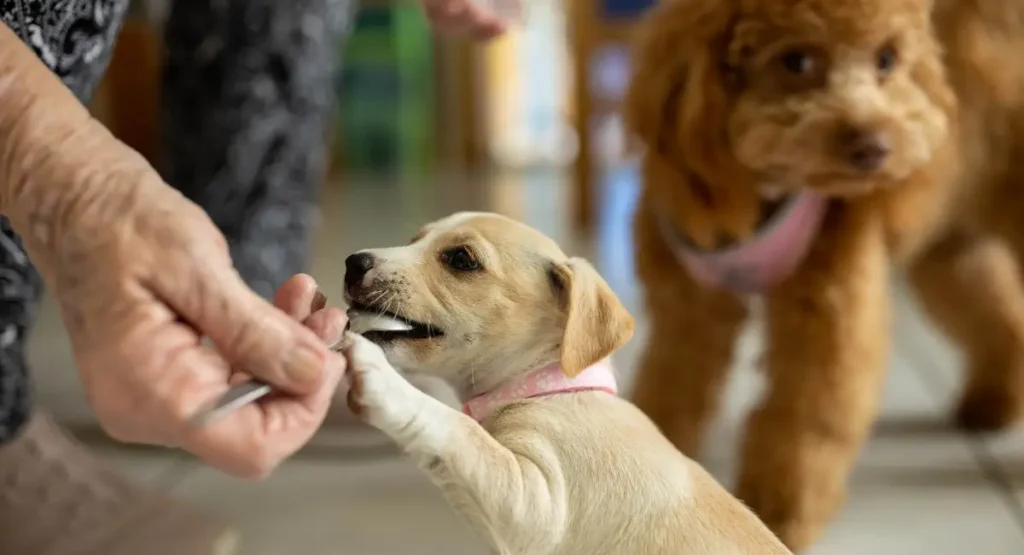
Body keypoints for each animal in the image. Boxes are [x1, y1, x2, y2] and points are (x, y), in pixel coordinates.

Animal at [339, 212, 786, 555]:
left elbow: (458, 429)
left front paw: (380, 378)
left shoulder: (535, 505)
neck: (547, 388)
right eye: (415, 240)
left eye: (461, 259)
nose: (353, 263)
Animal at [626, 0, 1024, 548]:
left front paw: (778, 515)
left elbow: (808, 409)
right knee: (992, 306)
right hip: (947, 244)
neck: (762, 187)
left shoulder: (828, 304)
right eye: (796, 61)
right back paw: (992, 404)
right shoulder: (688, 310)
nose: (875, 147)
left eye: (885, 58)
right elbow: (670, 384)